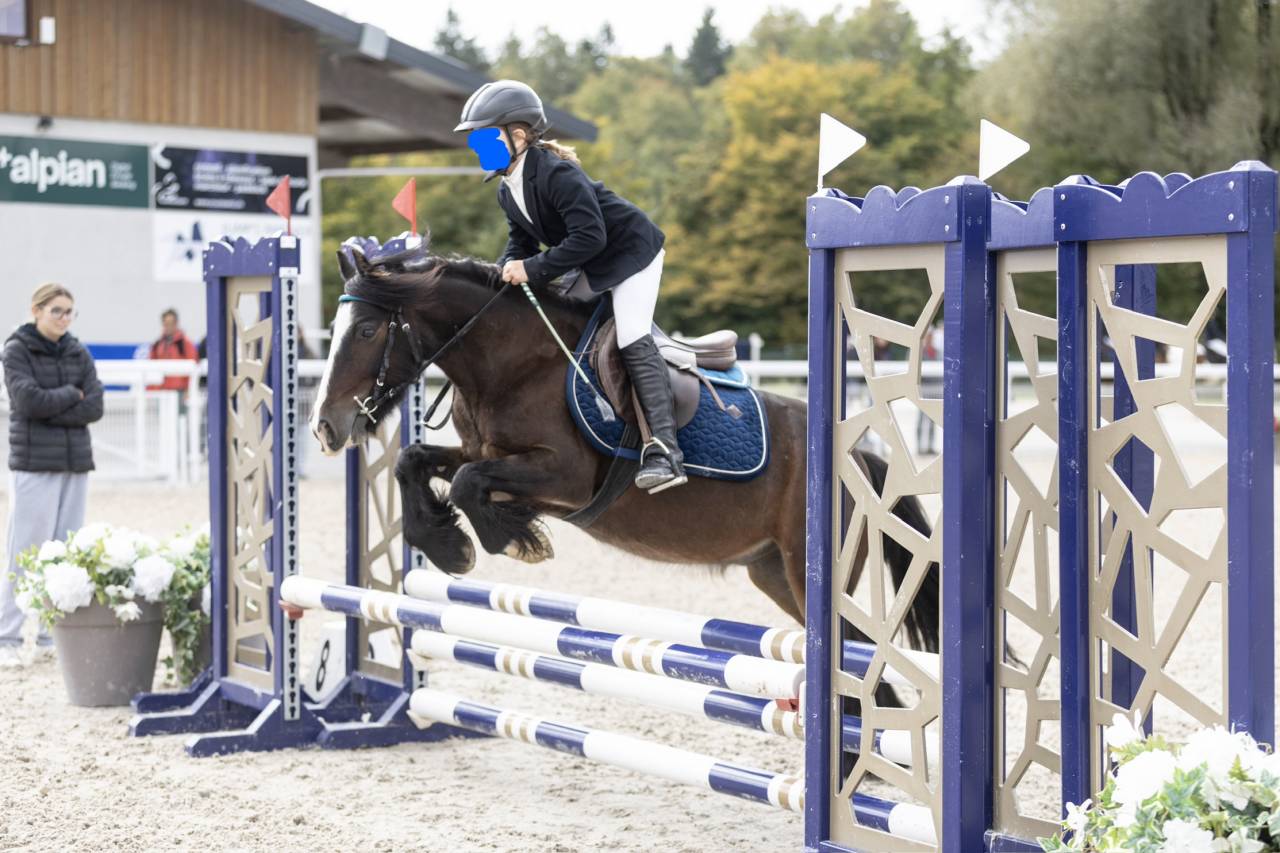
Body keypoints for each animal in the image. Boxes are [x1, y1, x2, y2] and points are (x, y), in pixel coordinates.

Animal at [309, 243, 938, 658]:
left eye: (366, 331)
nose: (324, 428)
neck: (513, 364)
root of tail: (863, 460)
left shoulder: (562, 477)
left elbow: (467, 484)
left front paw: (512, 541)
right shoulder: (481, 452)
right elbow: (414, 462)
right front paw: (449, 545)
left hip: (814, 574)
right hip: (775, 574)